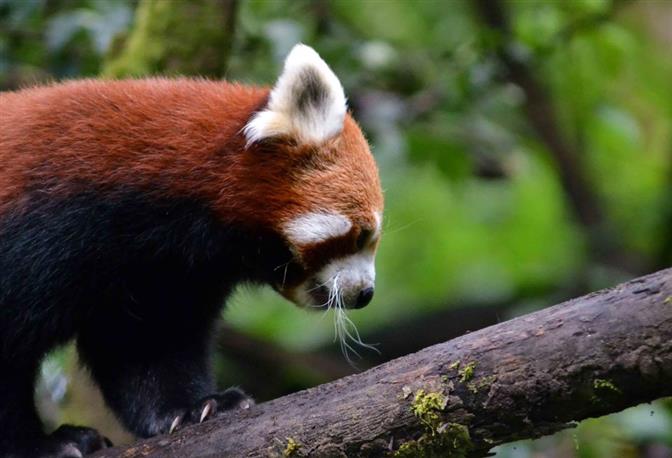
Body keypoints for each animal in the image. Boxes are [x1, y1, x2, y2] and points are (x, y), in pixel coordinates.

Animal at [0, 43, 384, 458]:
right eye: (362, 236)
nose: (365, 294)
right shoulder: (43, 234)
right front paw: (37, 445)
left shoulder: (161, 272)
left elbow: (147, 342)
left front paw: (192, 407)